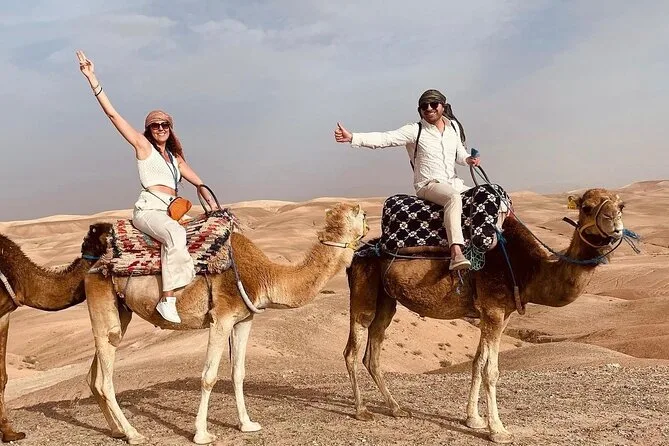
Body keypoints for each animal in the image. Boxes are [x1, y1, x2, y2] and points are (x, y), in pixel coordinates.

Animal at [84, 202, 368, 444]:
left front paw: (247, 424)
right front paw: (201, 434)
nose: (367, 227)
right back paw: (133, 433)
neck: (264, 275)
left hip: (121, 312)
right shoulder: (221, 317)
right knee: (105, 377)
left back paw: (117, 431)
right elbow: (208, 376)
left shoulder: (244, 319)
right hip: (102, 298)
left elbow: (238, 372)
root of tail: (94, 262)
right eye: (363, 215)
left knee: (95, 374)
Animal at [344, 188, 626, 444]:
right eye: (587, 207)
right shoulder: (493, 310)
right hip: (363, 288)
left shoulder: (501, 313)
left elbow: (478, 363)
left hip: (387, 299)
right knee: (353, 347)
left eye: (621, 205)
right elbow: (491, 370)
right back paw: (362, 410)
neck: (526, 268)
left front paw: (474, 419)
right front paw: (498, 430)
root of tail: (358, 253)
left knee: (373, 351)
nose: (615, 224)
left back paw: (397, 408)